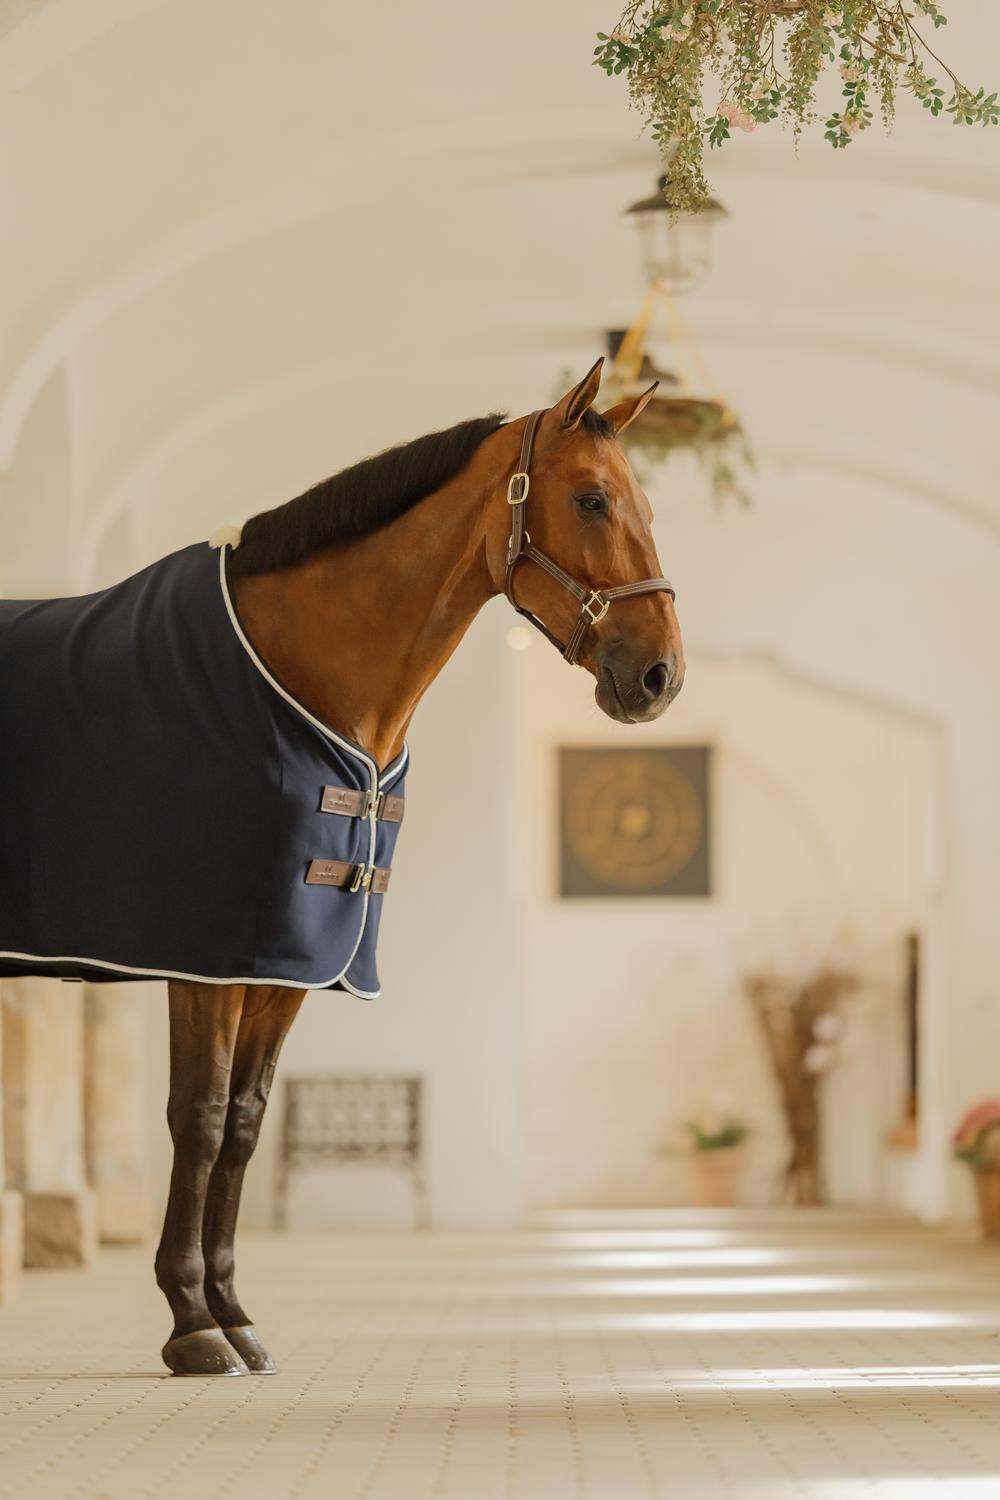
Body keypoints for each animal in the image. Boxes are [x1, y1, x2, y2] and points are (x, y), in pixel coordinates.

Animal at [0, 359, 684, 1374]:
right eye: (592, 499)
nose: (659, 677)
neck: (301, 670)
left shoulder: (291, 962)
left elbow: (244, 1123)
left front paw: (235, 1314)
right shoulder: (211, 957)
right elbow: (198, 1116)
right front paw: (192, 1323)